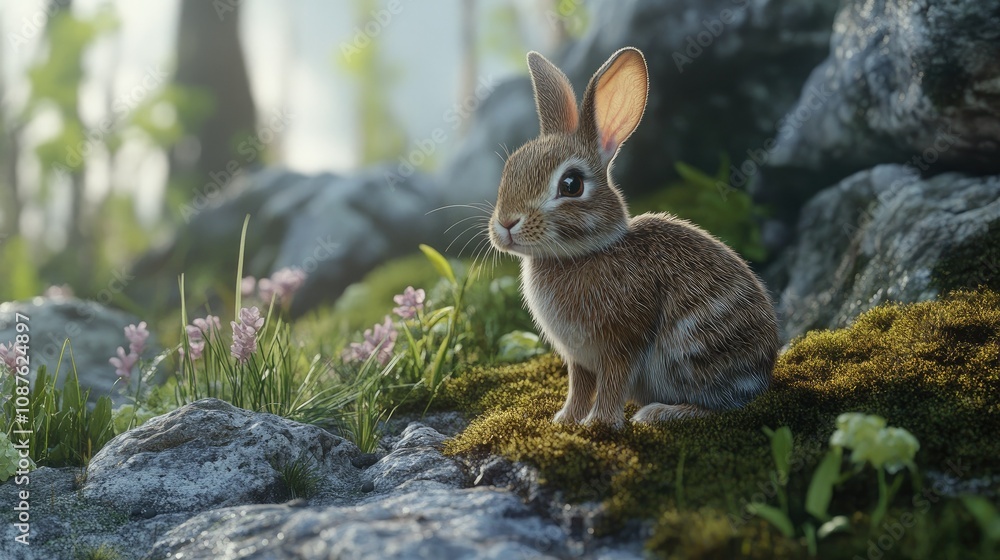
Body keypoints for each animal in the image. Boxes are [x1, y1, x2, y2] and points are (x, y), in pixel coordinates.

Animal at [488, 47, 780, 428]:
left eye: (571, 184)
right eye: (510, 168)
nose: (506, 223)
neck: (581, 253)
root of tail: (764, 373)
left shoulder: (622, 343)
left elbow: (612, 383)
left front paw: (599, 424)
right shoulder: (578, 358)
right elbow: (579, 386)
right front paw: (565, 421)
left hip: (694, 350)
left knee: (719, 405)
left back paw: (658, 413)